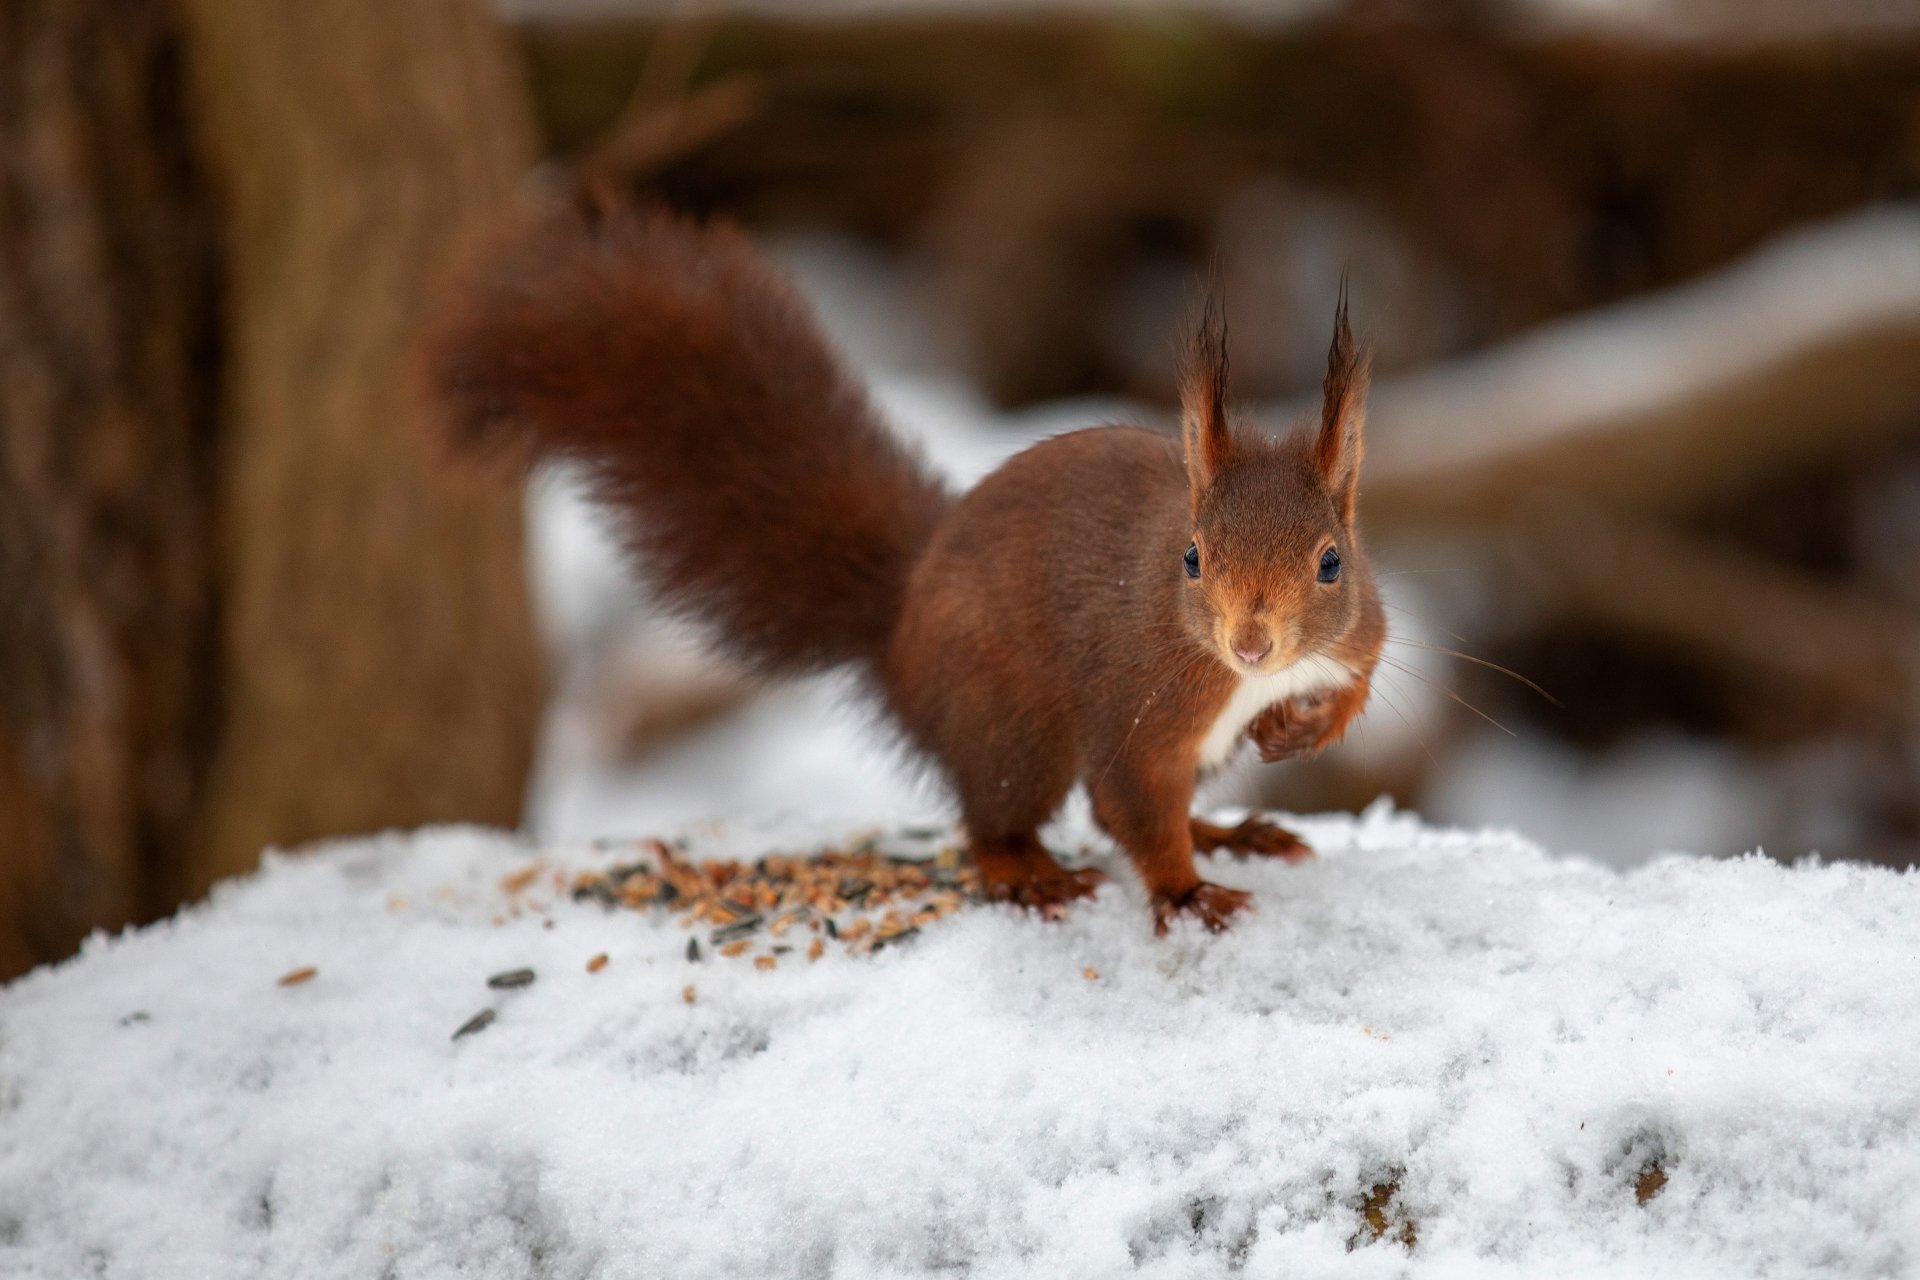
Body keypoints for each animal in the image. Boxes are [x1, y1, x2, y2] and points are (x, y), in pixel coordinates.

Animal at [422, 199, 1384, 933]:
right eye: (1192, 557)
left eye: (1332, 563)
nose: (1252, 644)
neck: (1244, 678)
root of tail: (900, 625)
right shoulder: (1138, 700)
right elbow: (1130, 806)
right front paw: (1185, 896)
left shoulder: (1361, 635)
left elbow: (1357, 686)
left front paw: (1296, 732)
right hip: (1006, 725)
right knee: (999, 820)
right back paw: (1034, 872)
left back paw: (1230, 831)